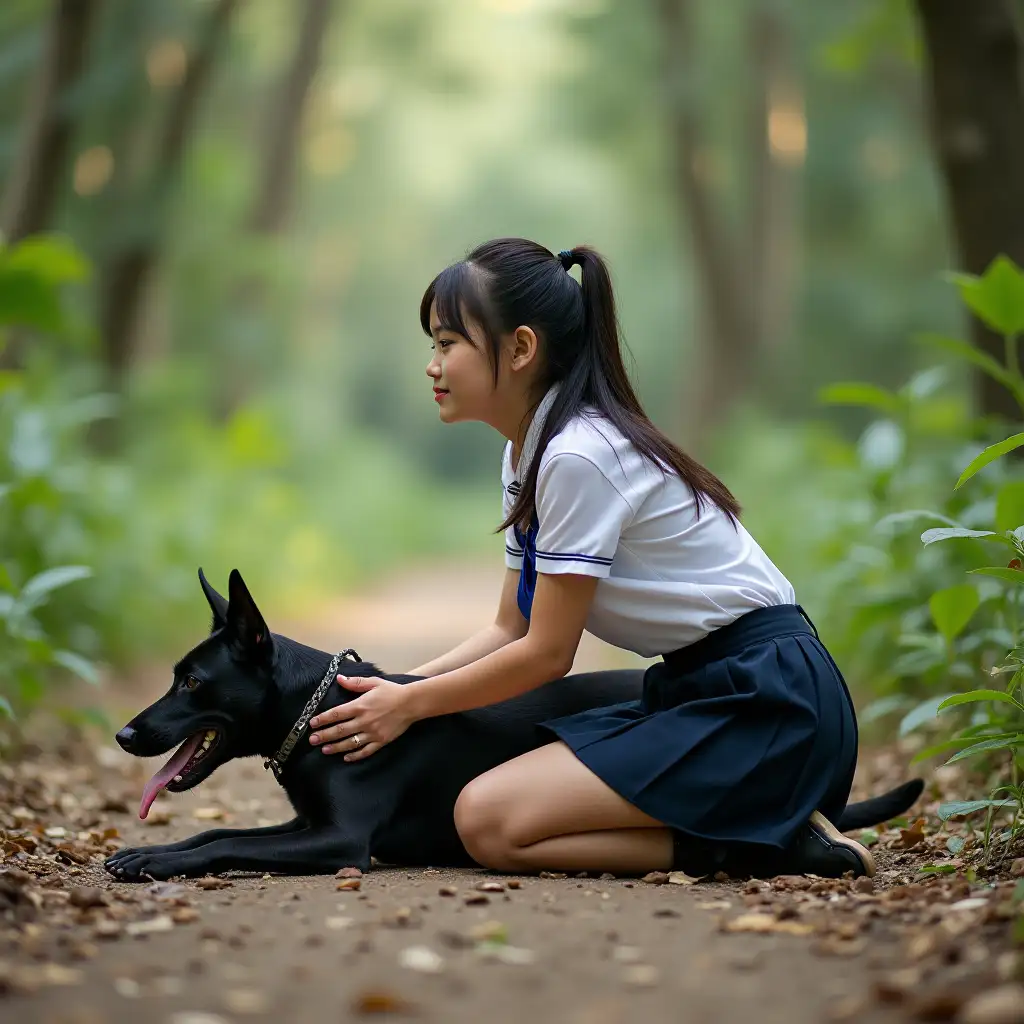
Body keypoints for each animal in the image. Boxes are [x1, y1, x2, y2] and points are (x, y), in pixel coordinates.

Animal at [105, 569, 929, 880]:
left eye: (192, 682)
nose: (124, 735)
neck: (317, 707)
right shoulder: (309, 824)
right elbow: (218, 831)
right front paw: (151, 850)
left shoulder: (339, 842)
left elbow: (228, 842)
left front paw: (152, 860)